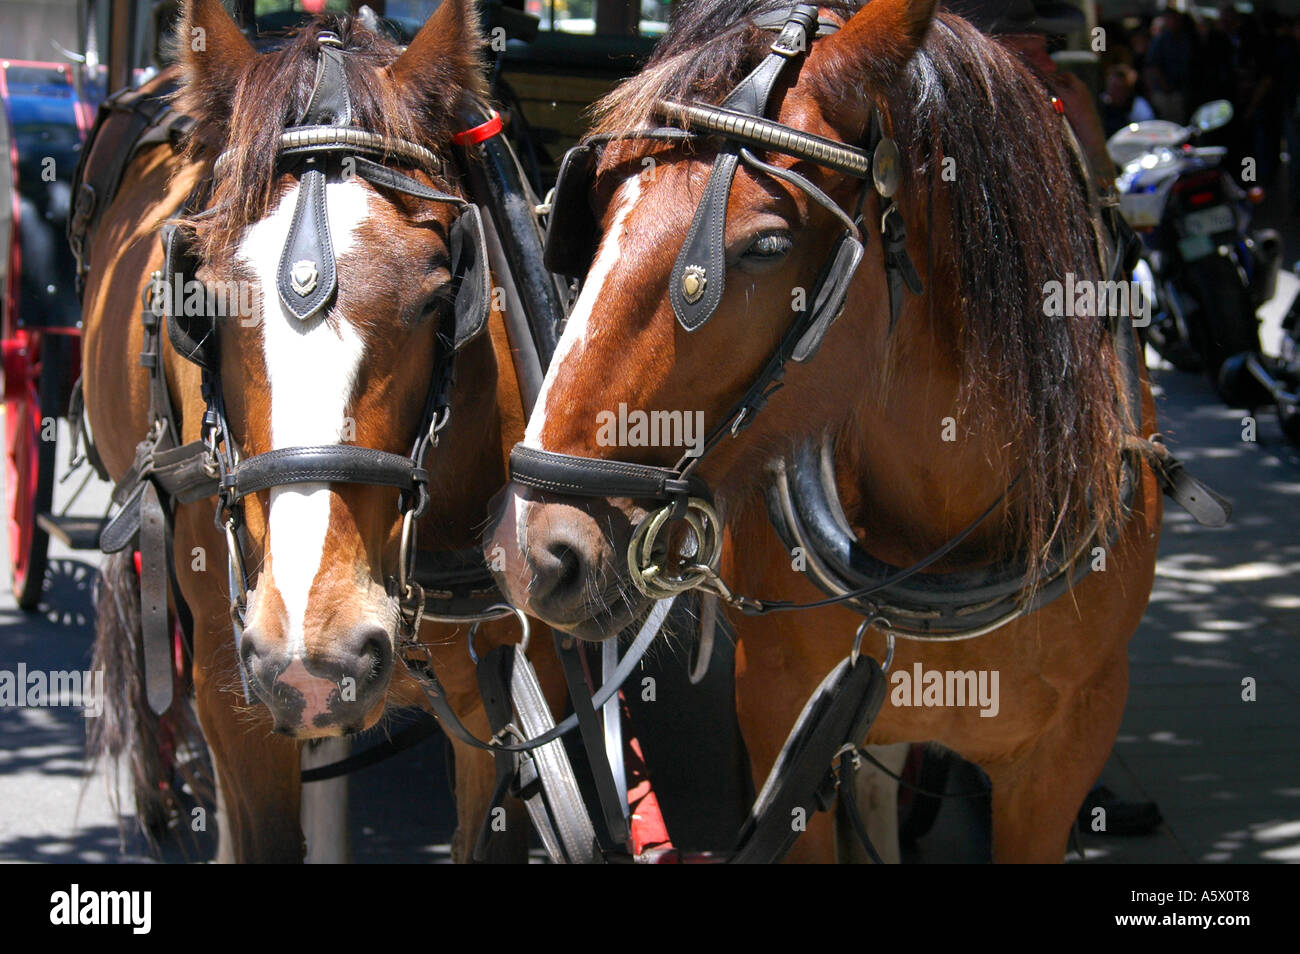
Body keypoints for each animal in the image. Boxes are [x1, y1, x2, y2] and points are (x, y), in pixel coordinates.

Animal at [488, 0, 1159, 868]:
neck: (940, 541)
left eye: (767, 246)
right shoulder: (782, 722)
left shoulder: (1063, 755)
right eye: (593, 212)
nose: (535, 550)